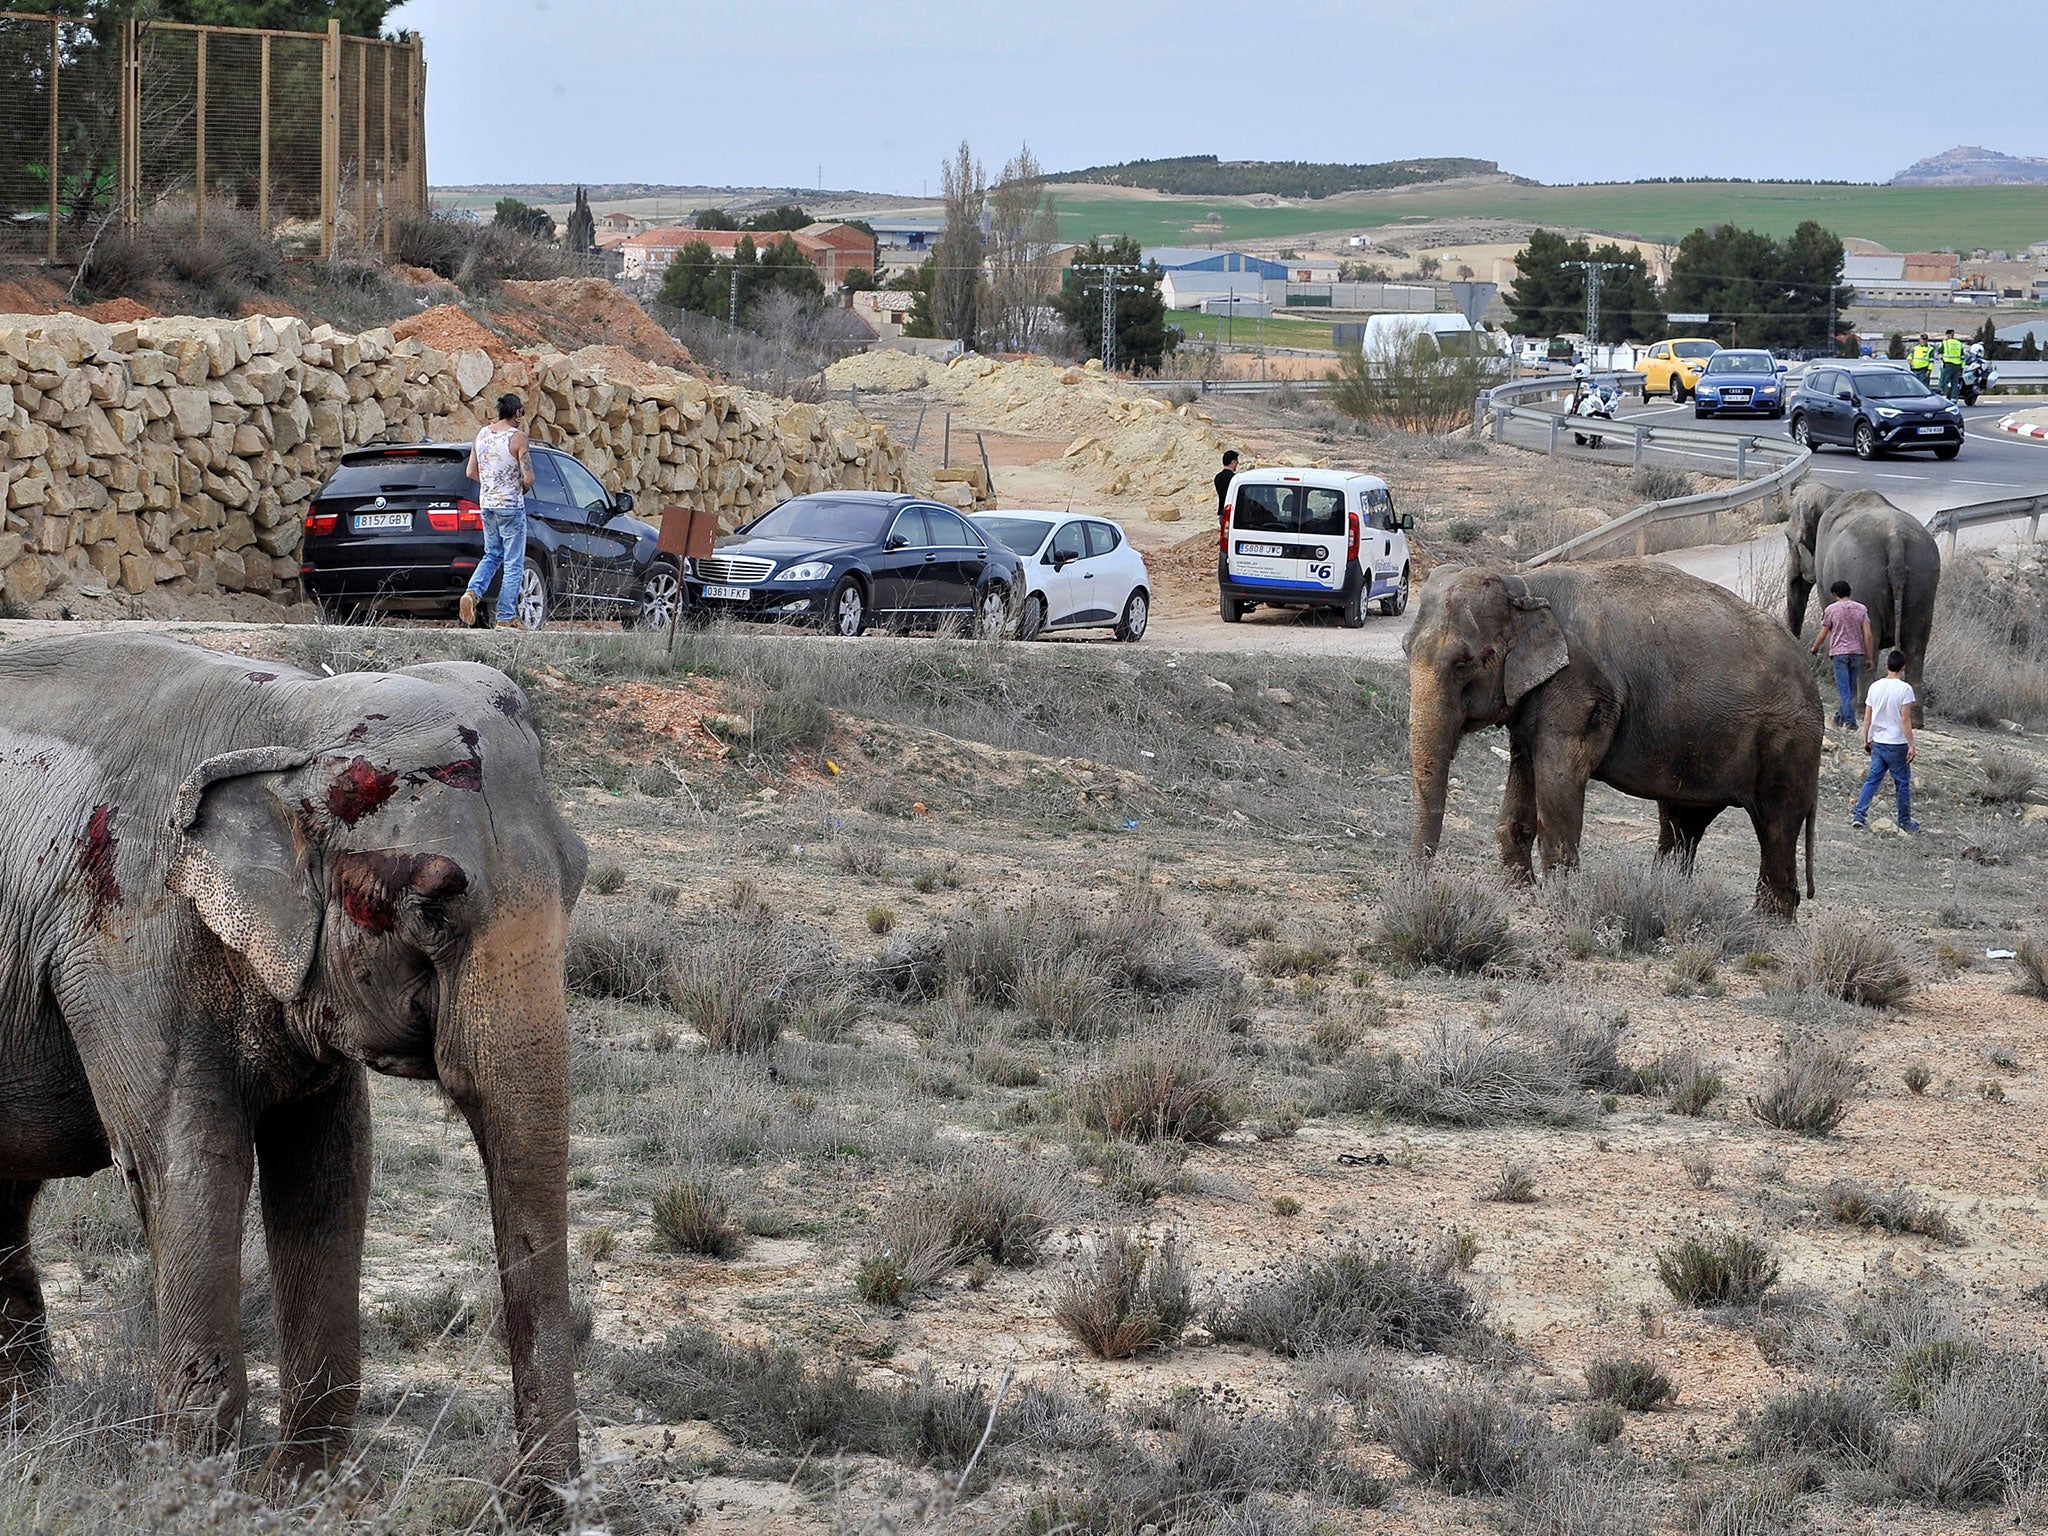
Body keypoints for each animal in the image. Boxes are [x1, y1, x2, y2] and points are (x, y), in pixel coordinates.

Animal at [2, 630, 593, 1499]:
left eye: (580, 875)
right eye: (429, 906)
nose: (532, 1506)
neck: (291, 721)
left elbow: (329, 1167)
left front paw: (302, 1494)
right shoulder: (127, 942)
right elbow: (188, 1165)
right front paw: (194, 1496)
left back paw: (27, 1443)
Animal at [1409, 569, 1826, 921]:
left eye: (1463, 663)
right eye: (1405, 649)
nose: (1421, 883)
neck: (1523, 584)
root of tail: (1811, 675)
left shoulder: (1577, 688)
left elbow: (1559, 776)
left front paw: (1559, 901)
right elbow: (1524, 769)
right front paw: (1517, 892)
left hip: (1788, 744)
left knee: (1775, 823)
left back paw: (1767, 923)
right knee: (1682, 821)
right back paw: (1669, 897)